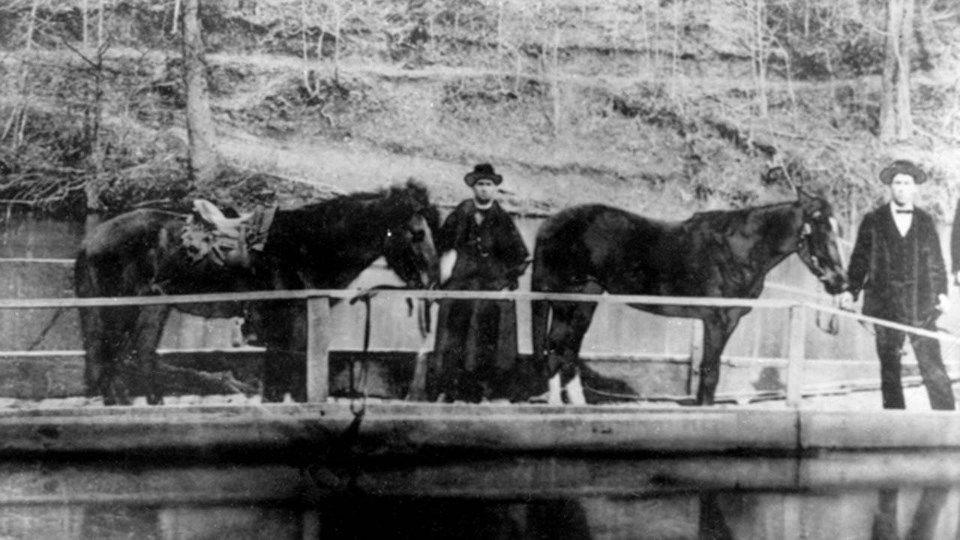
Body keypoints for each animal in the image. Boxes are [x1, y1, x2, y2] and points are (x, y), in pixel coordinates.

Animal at [77, 181, 440, 404]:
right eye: (418, 233)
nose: (433, 279)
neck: (304, 247)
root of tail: (93, 238)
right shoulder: (285, 320)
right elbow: (282, 370)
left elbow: (287, 370)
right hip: (119, 309)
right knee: (111, 356)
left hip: (153, 307)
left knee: (137, 353)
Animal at [532, 190, 848, 404]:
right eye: (819, 227)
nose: (840, 282)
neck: (736, 250)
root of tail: (550, 224)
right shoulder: (717, 321)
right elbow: (709, 374)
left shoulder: (725, 321)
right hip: (566, 302)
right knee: (556, 351)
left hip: (585, 302)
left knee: (568, 353)